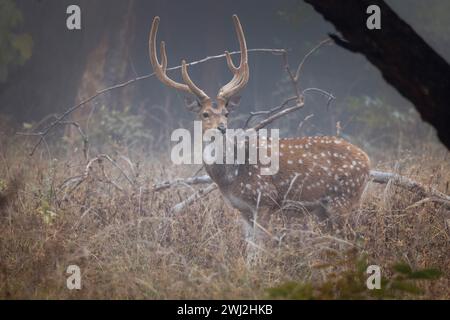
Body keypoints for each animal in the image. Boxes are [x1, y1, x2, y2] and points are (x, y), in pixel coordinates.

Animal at [149, 15, 370, 229]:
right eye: (205, 114)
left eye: (226, 113)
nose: (222, 128)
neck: (230, 178)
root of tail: (367, 161)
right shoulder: (242, 209)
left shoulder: (264, 199)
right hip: (324, 209)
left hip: (342, 199)